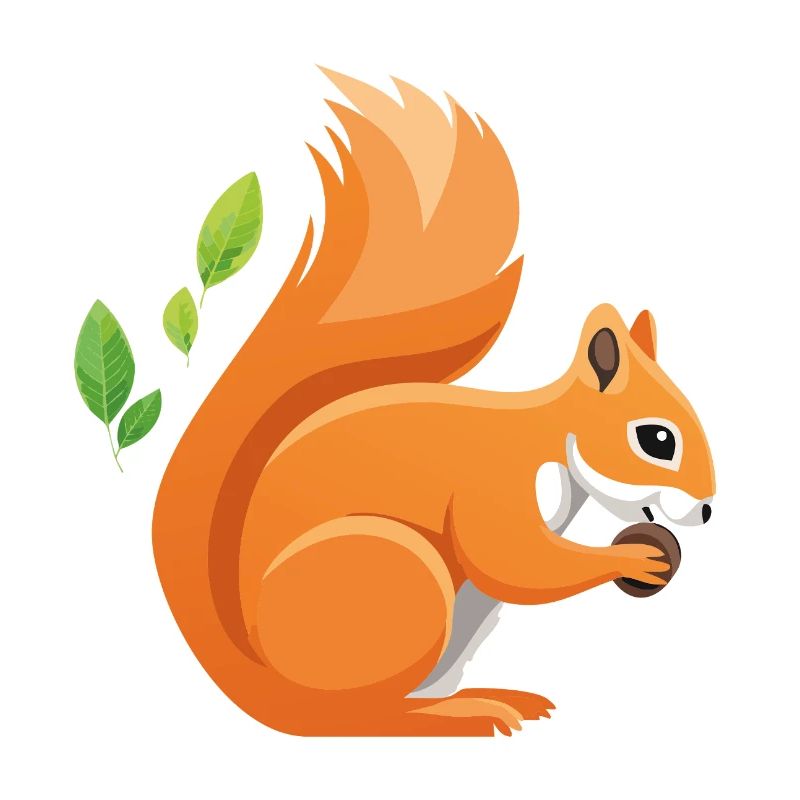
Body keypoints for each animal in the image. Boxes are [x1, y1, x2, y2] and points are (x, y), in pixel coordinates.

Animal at [153, 69, 715, 737]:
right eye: (656, 439)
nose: (707, 512)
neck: (553, 437)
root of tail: (262, 689)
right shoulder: (491, 488)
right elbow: (516, 563)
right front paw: (628, 559)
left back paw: (479, 700)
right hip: (399, 579)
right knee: (358, 715)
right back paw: (456, 715)